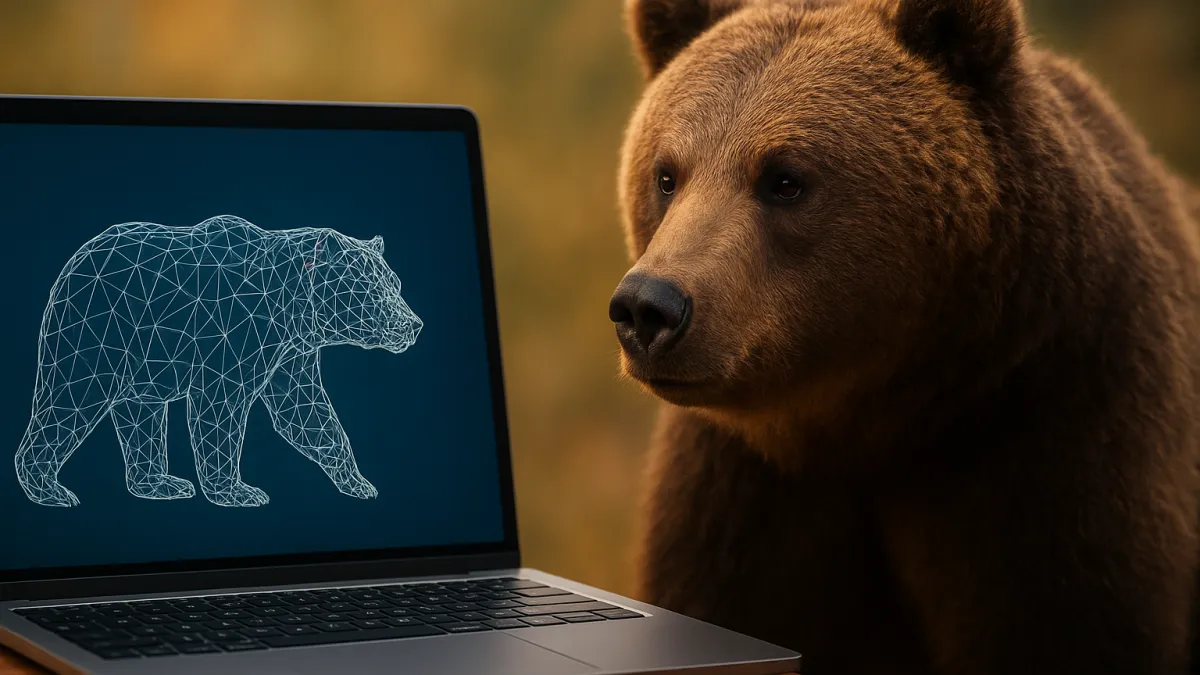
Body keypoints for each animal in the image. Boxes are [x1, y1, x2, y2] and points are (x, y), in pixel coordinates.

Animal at [14, 215, 423, 509]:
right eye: (371, 287)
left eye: (395, 282)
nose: (412, 324)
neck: (289, 308)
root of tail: (76, 259)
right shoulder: (233, 335)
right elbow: (220, 408)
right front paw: (239, 491)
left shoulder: (292, 354)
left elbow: (306, 412)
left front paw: (360, 483)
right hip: (97, 332)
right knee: (71, 400)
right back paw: (49, 489)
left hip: (141, 357)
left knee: (140, 413)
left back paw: (160, 483)